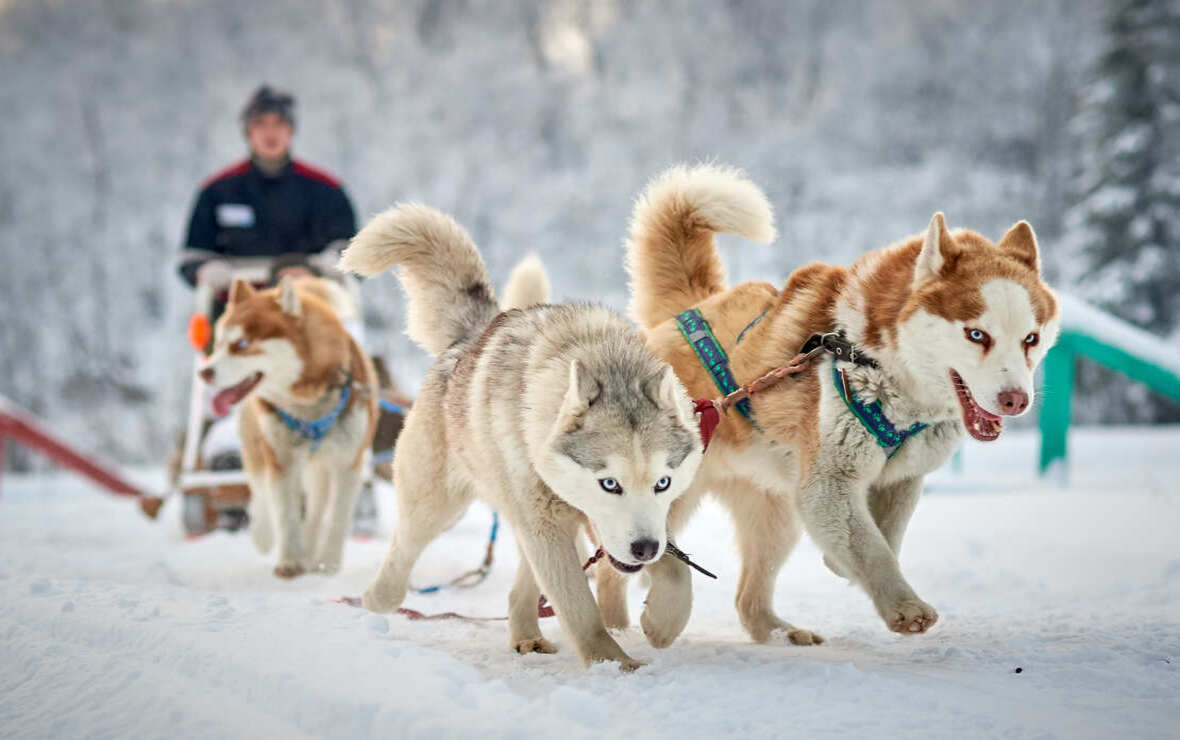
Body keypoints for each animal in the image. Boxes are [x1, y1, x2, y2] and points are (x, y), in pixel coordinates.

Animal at [195, 278, 375, 578]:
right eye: (218, 344)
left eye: (242, 343)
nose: (204, 372)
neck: (308, 403)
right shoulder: (282, 459)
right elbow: (286, 513)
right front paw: (289, 561)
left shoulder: (348, 463)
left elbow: (336, 517)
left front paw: (328, 562)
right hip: (258, 445)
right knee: (260, 492)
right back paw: (264, 535)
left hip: (321, 467)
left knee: (316, 509)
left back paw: (312, 552)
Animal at [344, 202, 703, 670]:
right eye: (610, 483)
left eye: (663, 482)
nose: (643, 548)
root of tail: (472, 335)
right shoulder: (551, 525)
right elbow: (580, 610)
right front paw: (615, 665)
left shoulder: (626, 526)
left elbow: (677, 570)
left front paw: (662, 625)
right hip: (441, 507)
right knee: (402, 553)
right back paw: (375, 604)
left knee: (524, 585)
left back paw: (526, 635)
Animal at [604, 165, 1057, 646]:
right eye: (976, 334)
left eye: (1030, 338)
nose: (1016, 400)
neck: (882, 365)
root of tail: (691, 308)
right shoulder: (829, 482)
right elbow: (873, 548)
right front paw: (904, 606)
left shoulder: (902, 479)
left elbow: (884, 535)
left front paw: (842, 563)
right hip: (665, 492)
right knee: (621, 563)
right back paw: (627, 627)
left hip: (776, 513)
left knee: (748, 599)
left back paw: (782, 634)